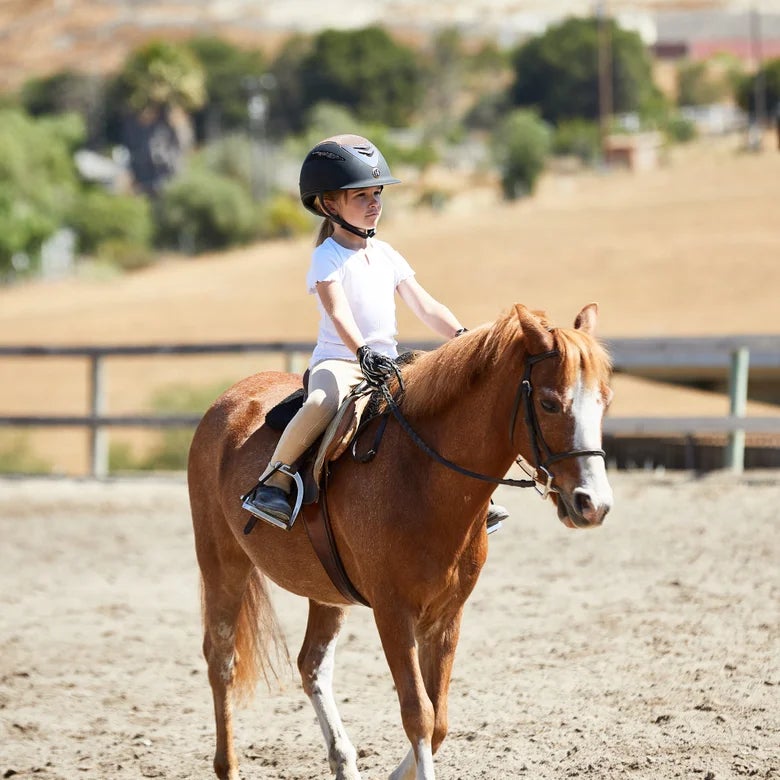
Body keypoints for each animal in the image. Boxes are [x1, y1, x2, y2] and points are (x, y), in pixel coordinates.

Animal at [187, 302, 614, 780]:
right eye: (549, 403)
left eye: (605, 401)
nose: (593, 504)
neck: (421, 476)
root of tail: (228, 400)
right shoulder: (393, 612)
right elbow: (419, 715)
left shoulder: (446, 615)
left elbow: (439, 718)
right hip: (222, 563)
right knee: (221, 659)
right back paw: (229, 763)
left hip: (327, 593)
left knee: (312, 665)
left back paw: (343, 761)